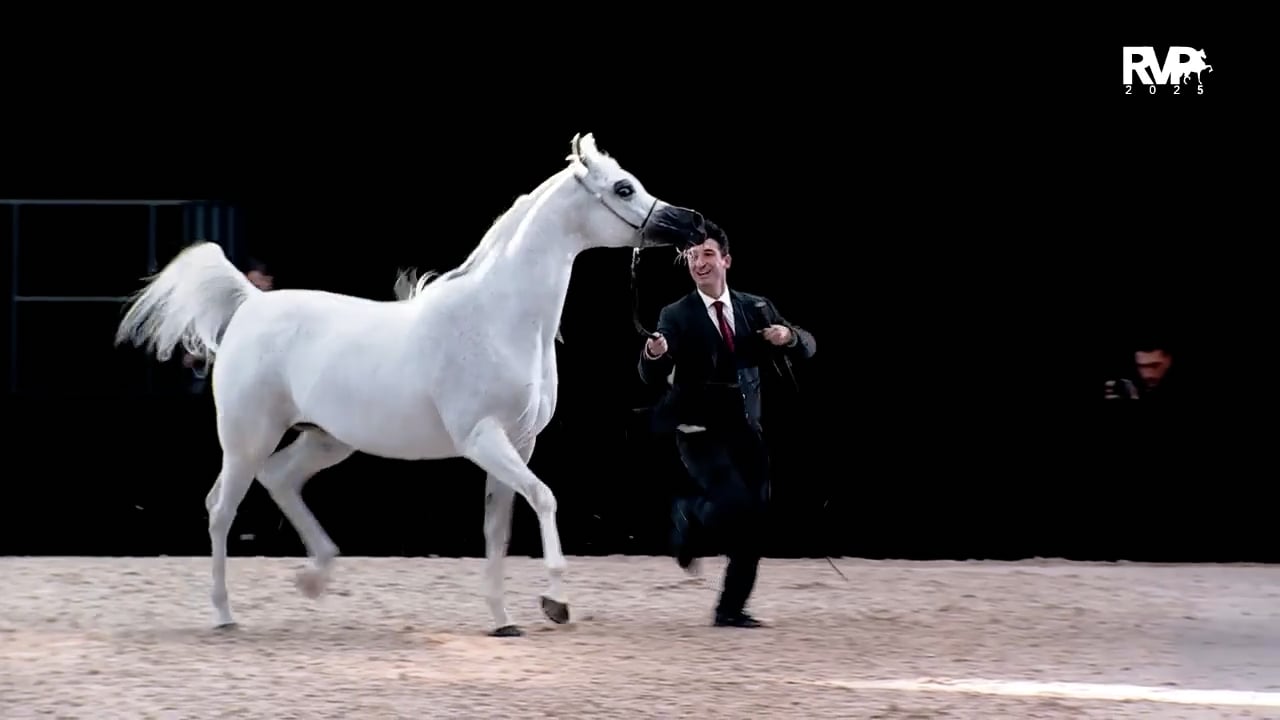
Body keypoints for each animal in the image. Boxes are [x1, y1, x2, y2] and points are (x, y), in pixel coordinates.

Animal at [114, 133, 706, 637]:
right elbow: (544, 498)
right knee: (221, 508)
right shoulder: (483, 439)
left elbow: (498, 531)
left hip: (328, 440)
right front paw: (555, 601)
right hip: (246, 439)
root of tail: (251, 304)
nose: (694, 223)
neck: (499, 319)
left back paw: (314, 578)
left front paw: (504, 619)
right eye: (623, 188)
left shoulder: (518, 445)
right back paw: (224, 613)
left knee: (281, 479)